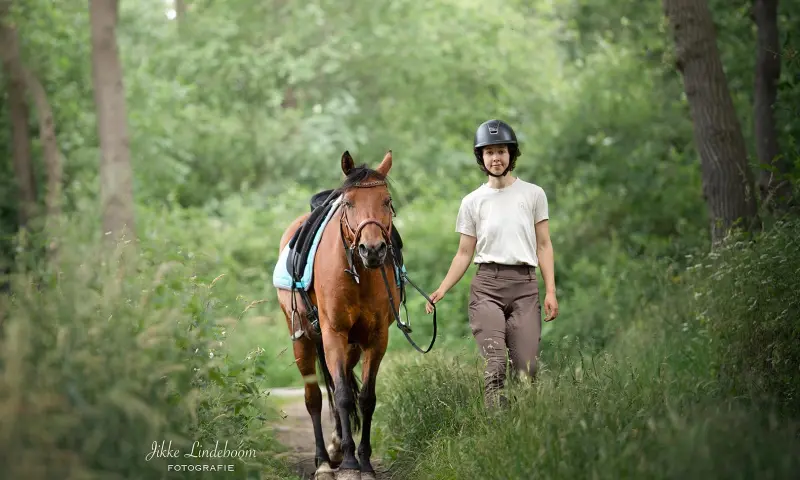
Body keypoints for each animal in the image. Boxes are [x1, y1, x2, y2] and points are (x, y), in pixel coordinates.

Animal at [275, 150, 419, 480]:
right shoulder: (333, 334)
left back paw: (337, 446)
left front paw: (363, 462)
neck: (359, 274)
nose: (373, 249)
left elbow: (365, 398)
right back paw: (323, 462)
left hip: (351, 345)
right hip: (303, 338)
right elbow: (340, 395)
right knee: (314, 397)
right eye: (349, 202)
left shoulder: (377, 338)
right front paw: (351, 465)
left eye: (386, 201)